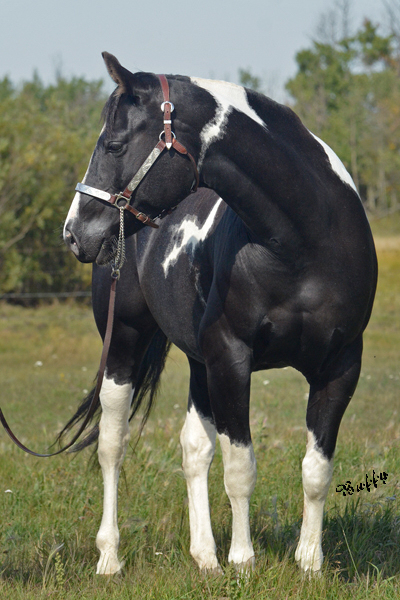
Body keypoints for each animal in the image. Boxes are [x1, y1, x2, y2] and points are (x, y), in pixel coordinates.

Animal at [63, 54, 378, 576]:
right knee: (112, 444)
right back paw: (110, 557)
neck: (305, 242)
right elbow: (240, 467)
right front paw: (244, 561)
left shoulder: (340, 367)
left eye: (115, 144)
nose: (73, 232)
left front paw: (308, 563)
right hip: (124, 342)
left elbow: (315, 470)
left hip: (197, 361)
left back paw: (205, 556)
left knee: (194, 449)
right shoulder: (231, 359)